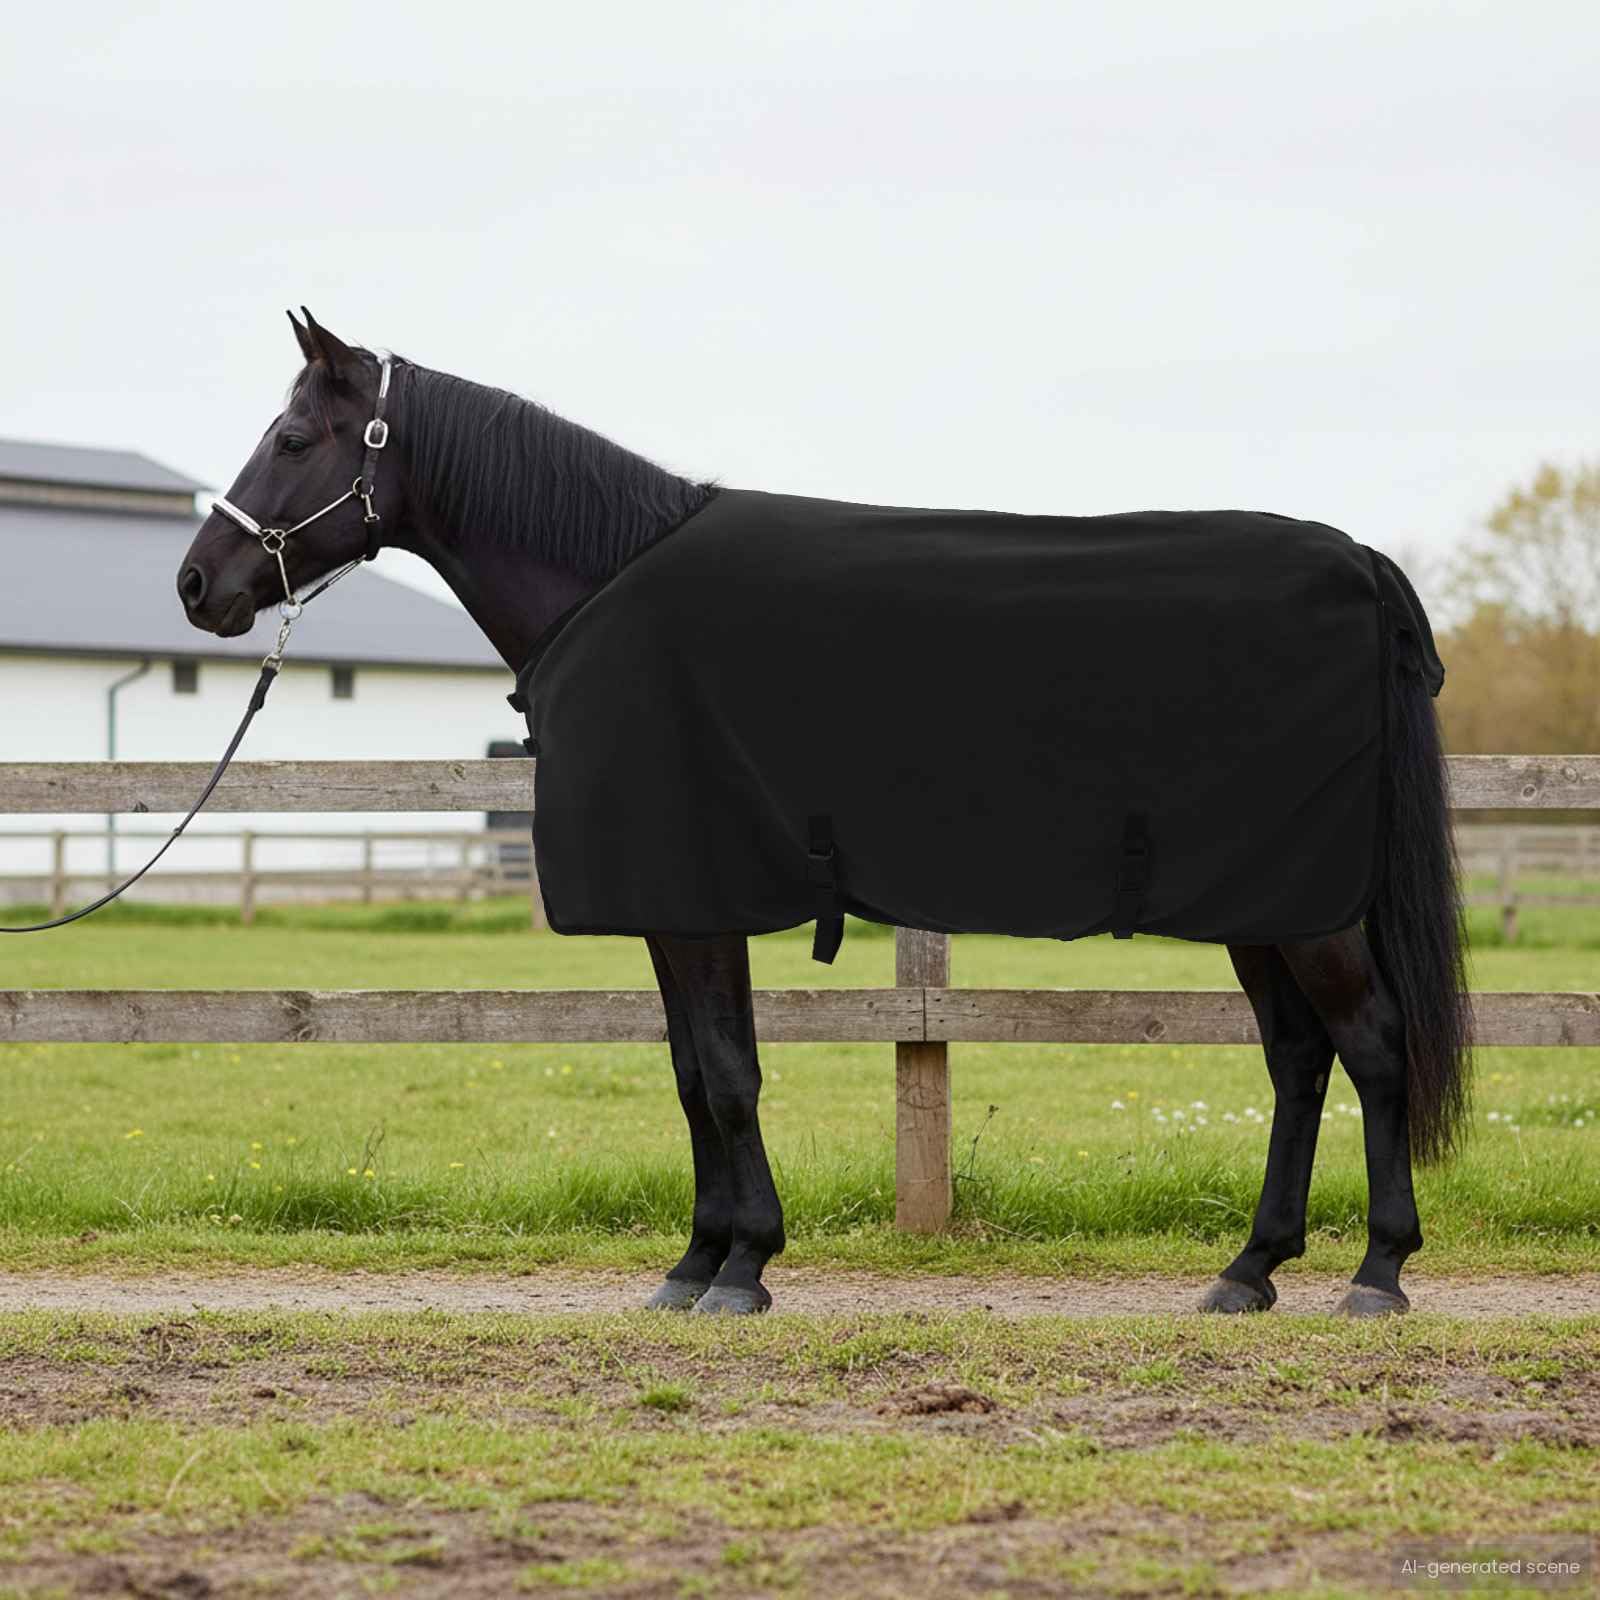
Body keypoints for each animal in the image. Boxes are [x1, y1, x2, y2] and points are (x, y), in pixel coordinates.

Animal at [177, 309, 1471, 1318]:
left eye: (292, 438)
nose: (198, 585)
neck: (604, 582)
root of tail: (1359, 562)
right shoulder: (678, 906)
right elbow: (695, 1072)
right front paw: (699, 1260)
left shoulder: (695, 899)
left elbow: (726, 1075)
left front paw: (741, 1266)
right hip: (1263, 901)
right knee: (1298, 1057)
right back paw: (1249, 1269)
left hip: (1309, 910)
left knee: (1372, 1045)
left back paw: (1377, 1271)